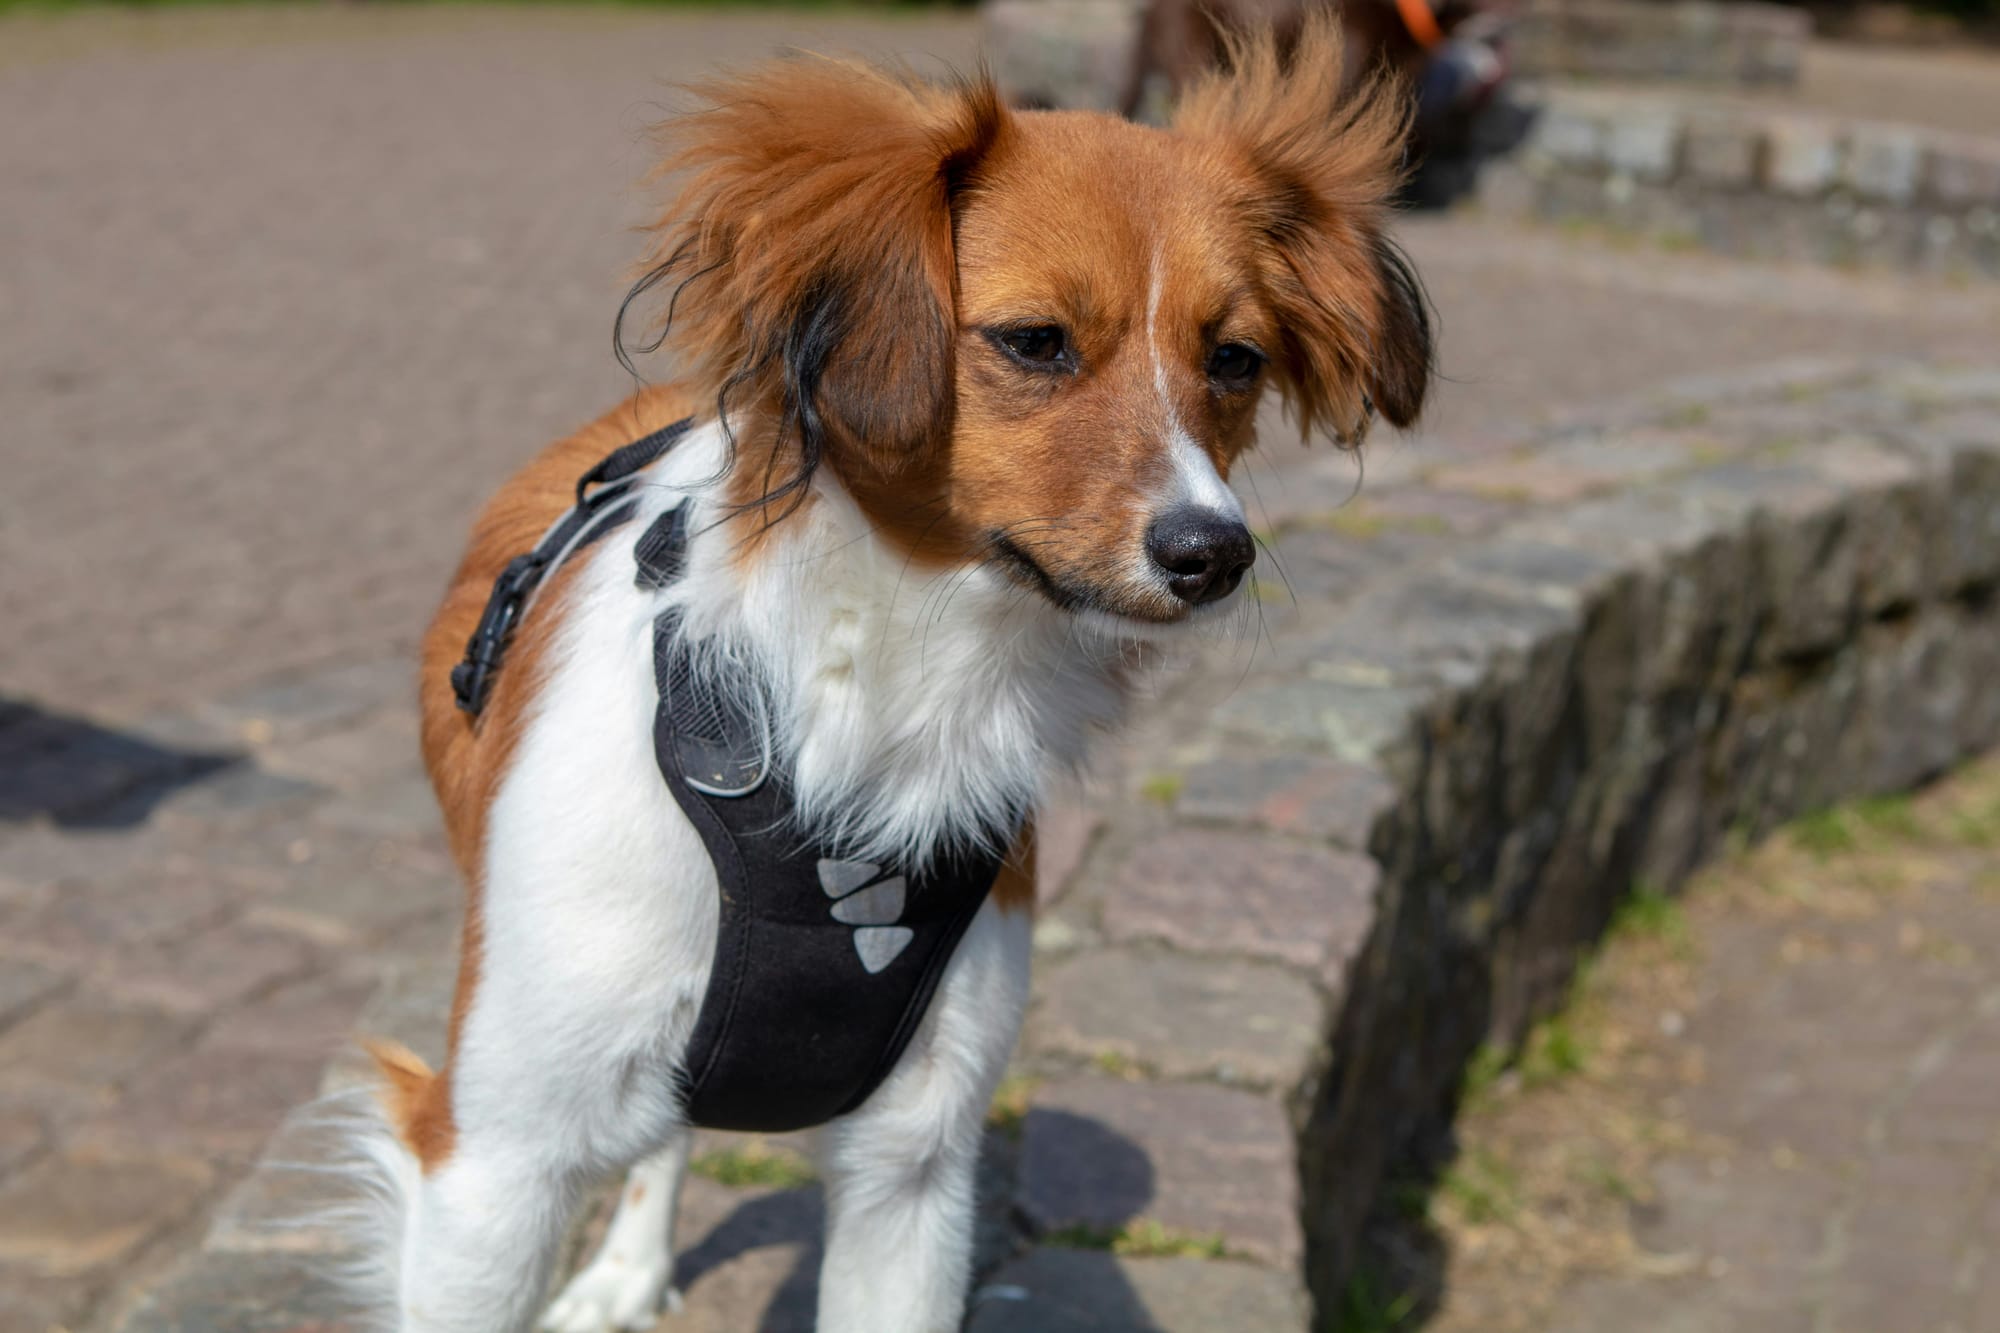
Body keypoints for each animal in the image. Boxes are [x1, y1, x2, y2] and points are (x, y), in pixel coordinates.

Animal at [352, 18, 1432, 1328]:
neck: (888, 693)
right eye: (1033, 342)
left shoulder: (910, 1172)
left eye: (1232, 359)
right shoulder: (491, 1166)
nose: (1211, 552)